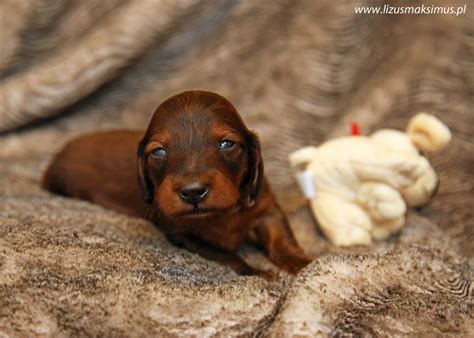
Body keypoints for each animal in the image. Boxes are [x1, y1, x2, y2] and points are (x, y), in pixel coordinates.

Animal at [43, 90, 312, 274]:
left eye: (227, 143)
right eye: (158, 151)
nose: (193, 192)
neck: (220, 214)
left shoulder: (266, 209)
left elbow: (282, 239)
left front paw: (303, 264)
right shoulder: (182, 234)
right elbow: (227, 256)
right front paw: (259, 273)